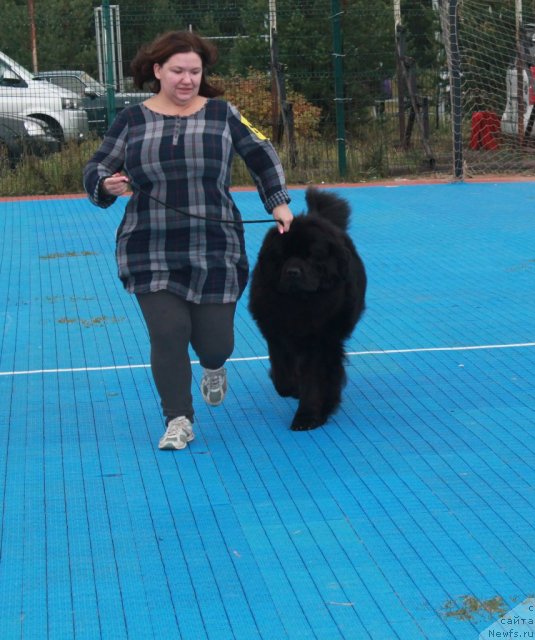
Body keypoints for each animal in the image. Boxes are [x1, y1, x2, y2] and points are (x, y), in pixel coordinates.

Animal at [249, 188, 366, 432]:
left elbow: (315, 380)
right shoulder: (276, 333)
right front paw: (292, 388)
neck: (299, 304)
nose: (293, 272)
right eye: (282, 257)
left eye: (311, 256)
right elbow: (282, 374)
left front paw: (307, 417)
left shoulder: (321, 342)